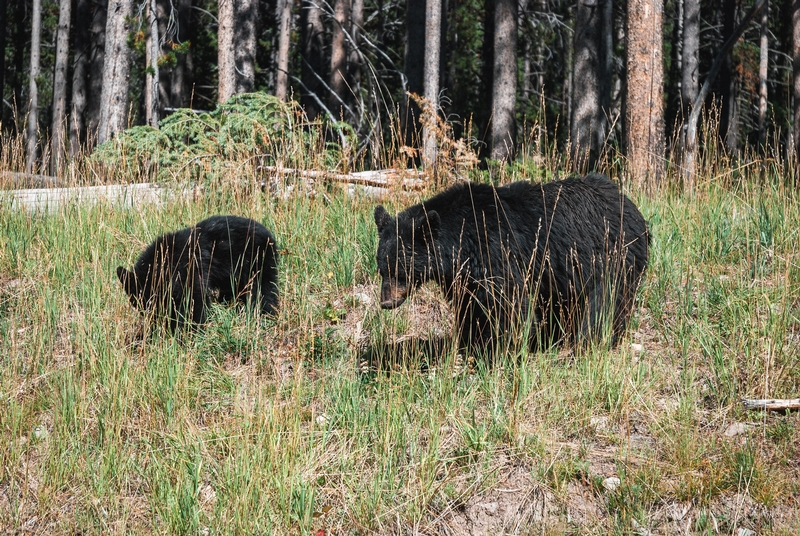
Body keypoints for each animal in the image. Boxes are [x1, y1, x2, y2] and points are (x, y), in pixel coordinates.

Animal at [117, 216, 280, 328]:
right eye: (140, 303)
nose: (156, 319)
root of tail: (268, 233)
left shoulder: (192, 271)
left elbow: (195, 302)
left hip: (257, 261)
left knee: (264, 290)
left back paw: (266, 314)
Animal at [376, 175, 648, 352]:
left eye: (400, 269)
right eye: (382, 269)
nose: (386, 302)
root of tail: (631, 205)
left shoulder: (497, 253)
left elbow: (508, 303)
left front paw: (499, 349)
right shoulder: (463, 275)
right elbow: (469, 306)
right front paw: (469, 342)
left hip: (612, 258)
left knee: (605, 301)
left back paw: (593, 340)